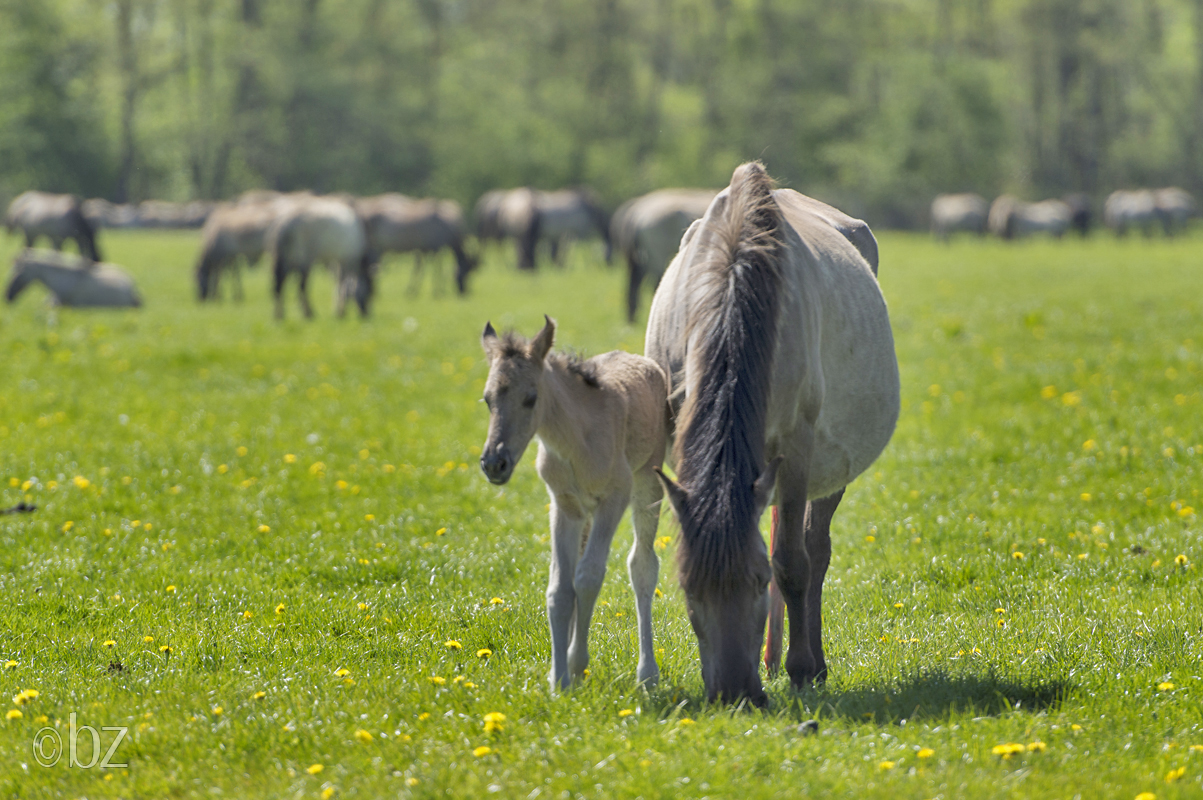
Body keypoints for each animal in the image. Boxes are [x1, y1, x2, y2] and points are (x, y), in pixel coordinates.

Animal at [476, 315, 668, 688]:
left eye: (531, 398)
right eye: (487, 399)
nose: (494, 463)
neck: (574, 442)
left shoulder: (614, 497)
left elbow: (589, 577)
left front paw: (577, 664)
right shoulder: (564, 505)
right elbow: (560, 589)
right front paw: (559, 678)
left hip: (647, 484)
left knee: (642, 565)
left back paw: (648, 673)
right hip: (585, 512)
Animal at [644, 163, 899, 707]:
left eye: (757, 581)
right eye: (688, 587)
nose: (734, 694)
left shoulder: (797, 444)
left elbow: (792, 562)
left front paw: (802, 669)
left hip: (830, 463)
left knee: (815, 549)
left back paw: (809, 662)